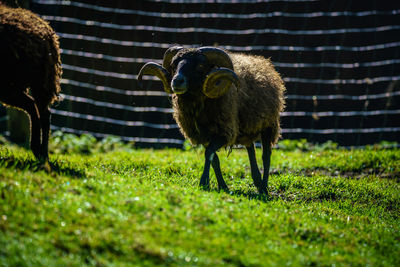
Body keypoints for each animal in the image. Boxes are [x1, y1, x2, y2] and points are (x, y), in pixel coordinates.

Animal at [0, 4, 61, 166]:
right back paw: (41, 153)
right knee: (39, 109)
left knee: (36, 109)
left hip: (13, 84)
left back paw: (39, 152)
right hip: (37, 82)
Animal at [139, 46, 286, 195]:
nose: (177, 81)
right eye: (174, 65)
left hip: (269, 125)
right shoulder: (204, 136)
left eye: (200, 66)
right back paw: (257, 181)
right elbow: (214, 158)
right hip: (245, 130)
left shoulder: (225, 132)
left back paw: (264, 187)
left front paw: (204, 183)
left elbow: (209, 153)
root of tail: (264, 63)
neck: (198, 106)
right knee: (251, 150)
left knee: (266, 155)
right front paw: (222, 186)